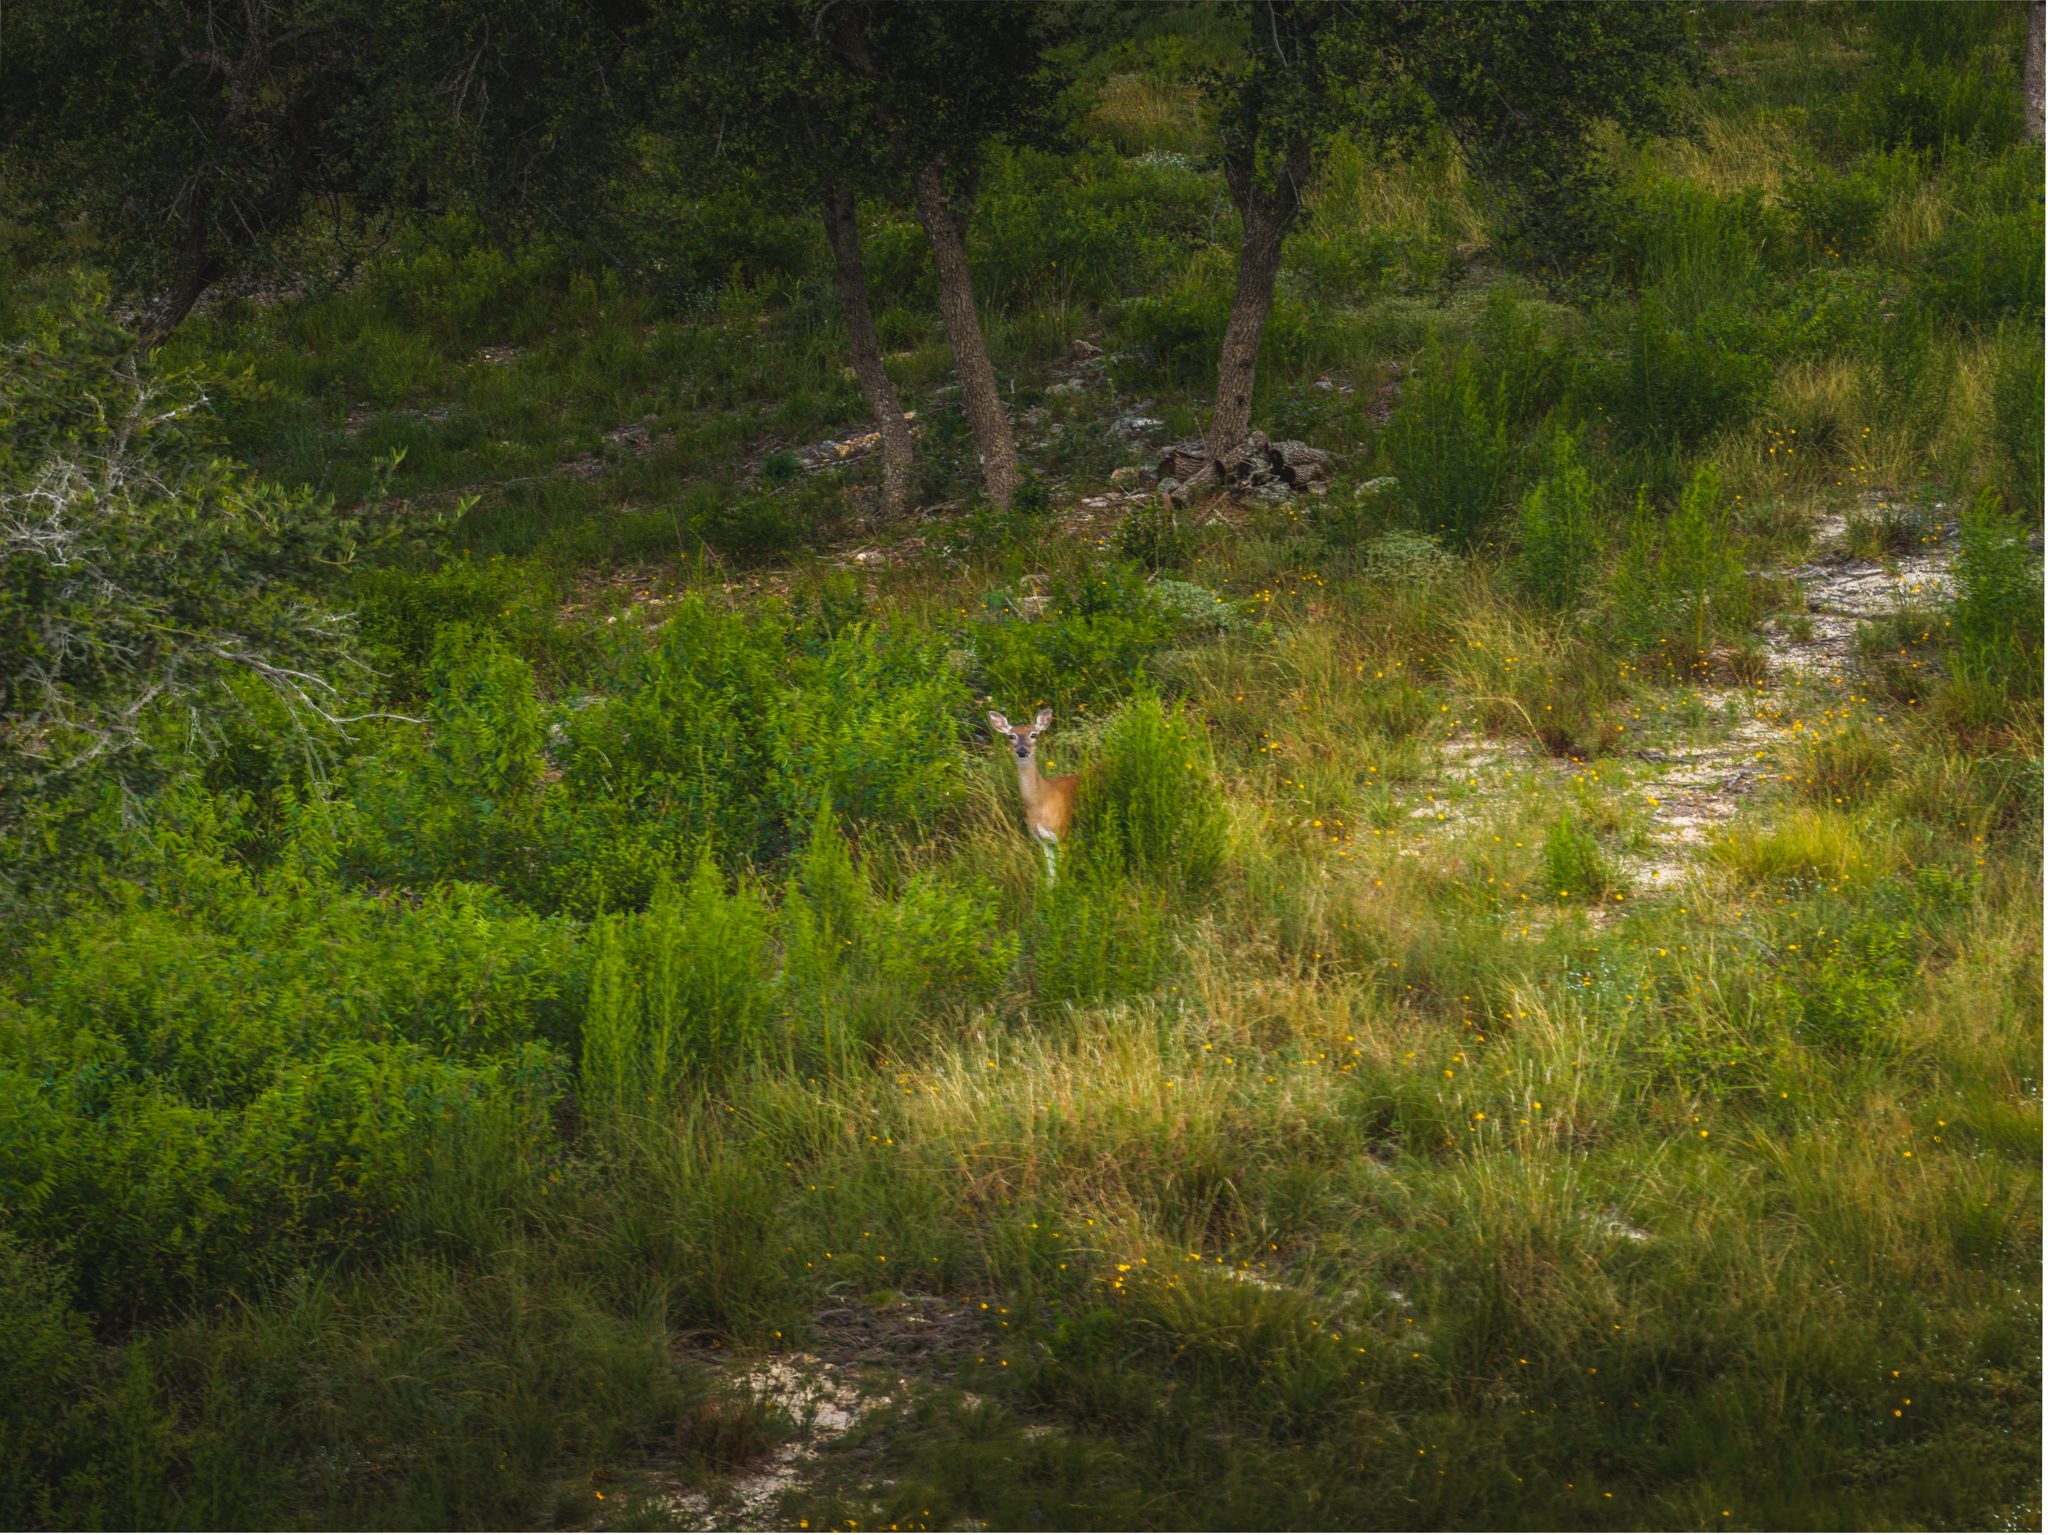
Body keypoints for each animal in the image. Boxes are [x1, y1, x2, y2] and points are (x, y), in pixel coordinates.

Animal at [988, 707, 1080, 883]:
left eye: (1034, 734)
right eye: (1011, 736)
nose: (1022, 751)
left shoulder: (1063, 833)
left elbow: (1062, 872)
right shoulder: (1042, 841)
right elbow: (1051, 876)